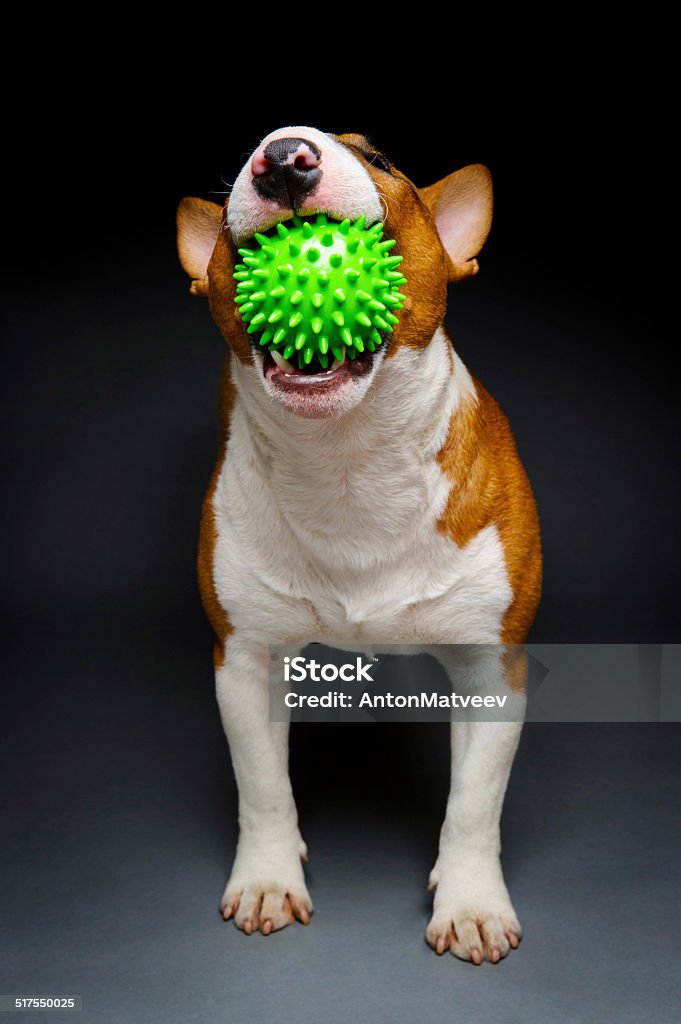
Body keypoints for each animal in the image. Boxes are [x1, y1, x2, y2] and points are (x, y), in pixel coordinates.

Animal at [176, 125, 540, 958]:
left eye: (378, 161)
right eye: (245, 158)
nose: (283, 157)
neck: (344, 460)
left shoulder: (494, 666)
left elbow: (475, 802)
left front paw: (471, 902)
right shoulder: (242, 658)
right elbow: (262, 786)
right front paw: (267, 879)